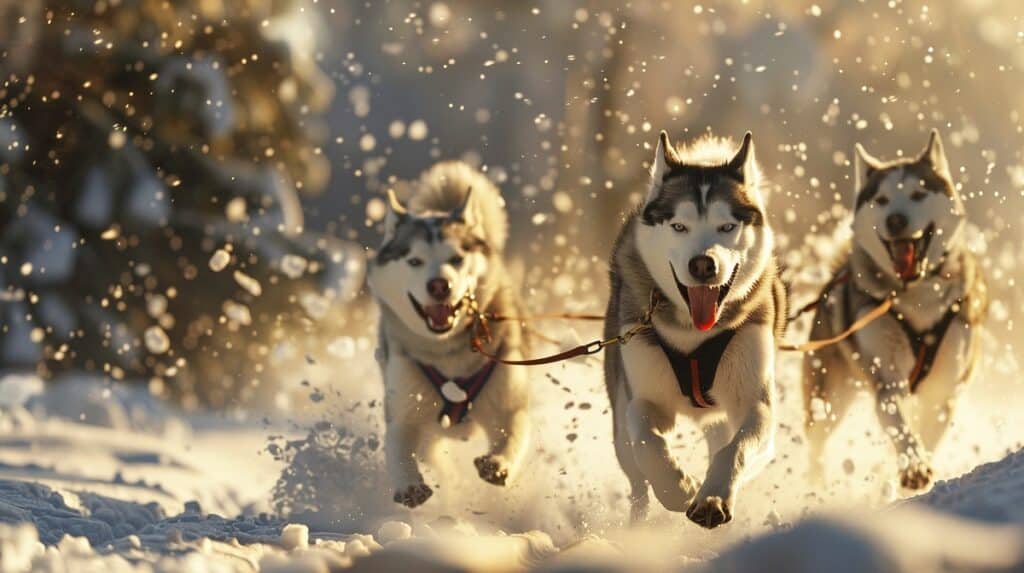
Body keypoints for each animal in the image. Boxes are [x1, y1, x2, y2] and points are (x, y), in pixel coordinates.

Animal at [368, 161, 532, 505]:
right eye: (414, 260)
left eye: (457, 258)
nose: (439, 285)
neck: (447, 355)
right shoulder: (404, 408)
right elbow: (399, 447)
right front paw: (409, 484)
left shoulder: (510, 400)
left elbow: (513, 432)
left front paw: (499, 463)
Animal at [602, 130, 786, 527]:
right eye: (679, 226)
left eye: (727, 226)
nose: (703, 264)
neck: (693, 335)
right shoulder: (645, 396)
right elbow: (646, 437)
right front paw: (677, 488)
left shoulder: (754, 402)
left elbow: (736, 448)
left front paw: (712, 496)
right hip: (620, 426)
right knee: (636, 478)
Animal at [802, 130, 987, 493]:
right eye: (882, 200)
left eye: (918, 194)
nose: (896, 220)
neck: (917, 296)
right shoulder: (887, 379)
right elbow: (901, 426)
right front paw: (914, 467)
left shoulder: (945, 390)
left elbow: (928, 431)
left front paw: (916, 469)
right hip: (827, 397)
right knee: (816, 443)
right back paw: (817, 484)